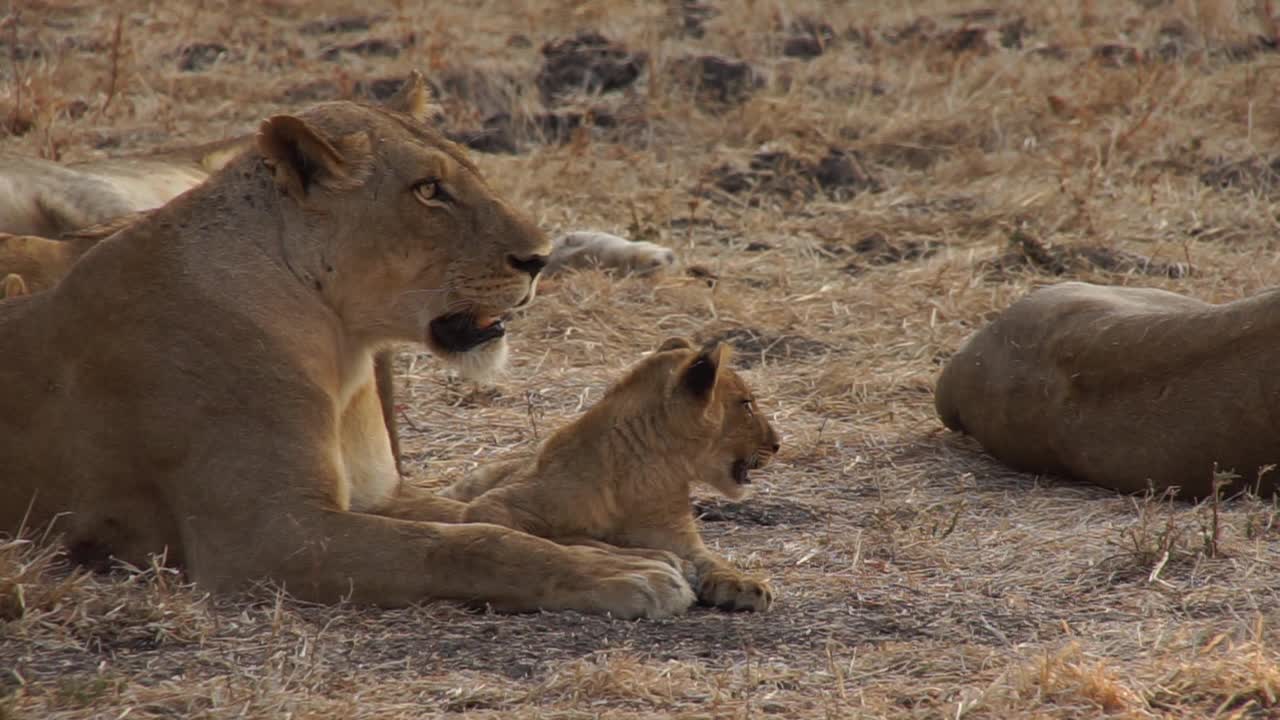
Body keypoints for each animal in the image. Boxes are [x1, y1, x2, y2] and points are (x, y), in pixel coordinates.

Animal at [0, 77, 696, 617]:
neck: (343, 345)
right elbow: (464, 543)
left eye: (471, 170)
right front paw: (620, 573)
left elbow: (493, 517)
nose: (540, 259)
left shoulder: (377, 494)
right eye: (428, 190)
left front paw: (614, 552)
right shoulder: (269, 537)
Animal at [440, 338, 778, 609]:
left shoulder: (678, 536)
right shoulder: (492, 506)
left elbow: (710, 558)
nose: (777, 444)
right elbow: (556, 536)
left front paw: (743, 583)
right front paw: (644, 556)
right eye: (747, 404)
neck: (654, 473)